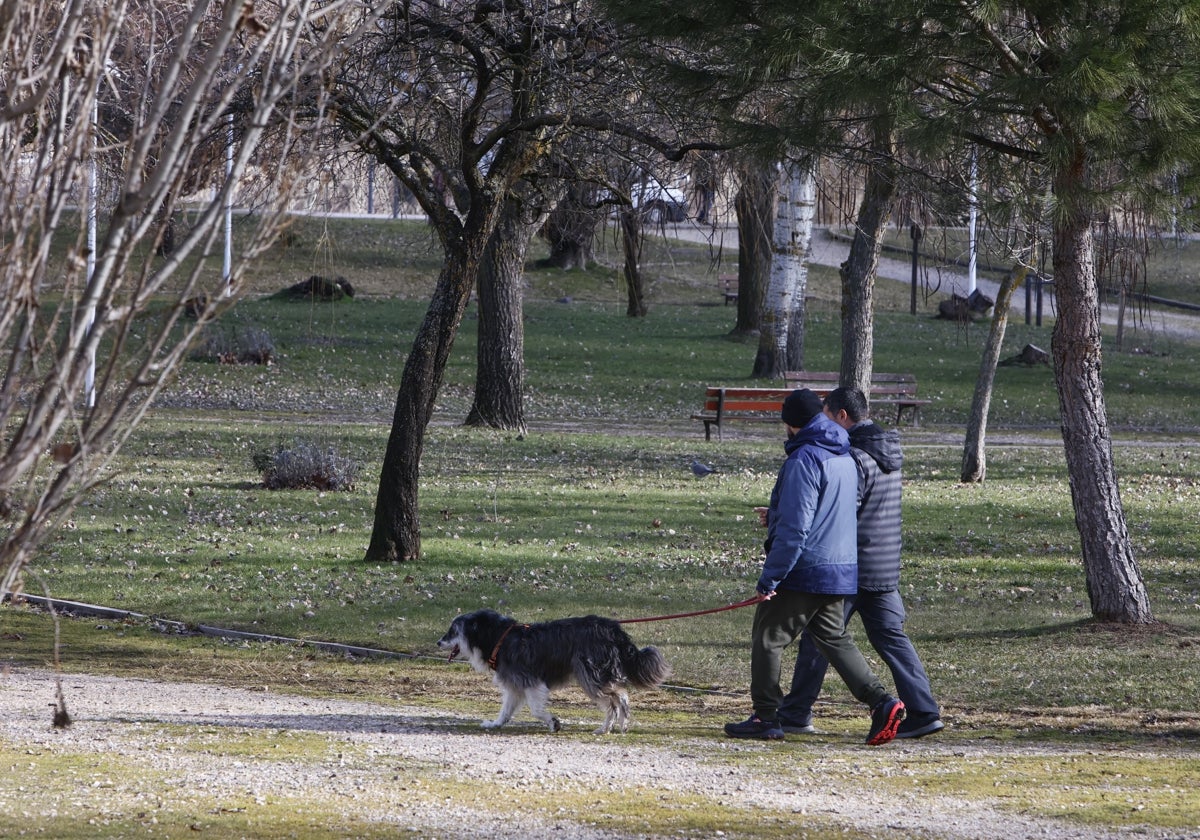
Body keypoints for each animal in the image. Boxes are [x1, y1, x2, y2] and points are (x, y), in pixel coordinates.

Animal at [436, 607, 672, 729]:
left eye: (453, 630)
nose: (438, 642)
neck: (499, 638)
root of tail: (613, 629)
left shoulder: (532, 682)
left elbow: (536, 710)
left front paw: (553, 722)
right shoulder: (515, 686)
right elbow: (506, 710)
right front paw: (495, 724)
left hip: (591, 674)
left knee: (618, 698)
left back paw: (607, 727)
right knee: (618, 697)